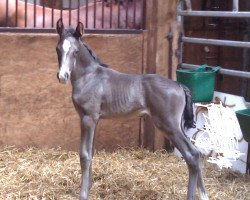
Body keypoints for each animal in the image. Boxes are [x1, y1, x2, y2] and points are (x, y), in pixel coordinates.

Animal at [55, 19, 208, 200]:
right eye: (58, 49)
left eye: (76, 51)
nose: (62, 76)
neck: (89, 77)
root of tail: (179, 85)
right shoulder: (94, 120)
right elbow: (91, 152)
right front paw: (90, 187)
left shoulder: (88, 118)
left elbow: (85, 155)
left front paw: (83, 194)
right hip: (177, 126)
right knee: (196, 153)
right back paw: (204, 195)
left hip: (168, 125)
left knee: (191, 154)